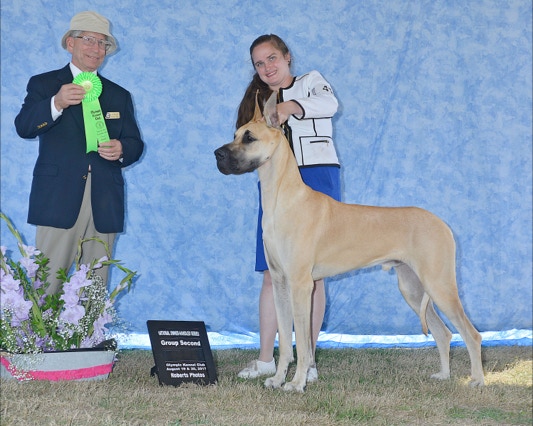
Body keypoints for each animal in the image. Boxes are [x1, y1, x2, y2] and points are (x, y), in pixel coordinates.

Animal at [214, 92, 484, 392]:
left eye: (249, 138)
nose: (217, 154)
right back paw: (445, 375)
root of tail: (442, 223)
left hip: (440, 285)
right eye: (235, 134)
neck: (281, 197)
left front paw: (297, 383)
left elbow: (304, 345)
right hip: (412, 287)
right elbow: (284, 340)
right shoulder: (280, 283)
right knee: (444, 332)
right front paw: (277, 379)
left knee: (471, 334)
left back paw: (477, 380)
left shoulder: (300, 285)